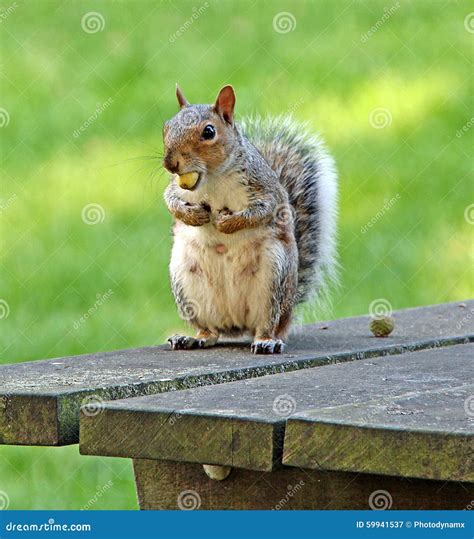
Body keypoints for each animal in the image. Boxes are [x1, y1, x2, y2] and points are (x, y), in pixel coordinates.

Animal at [162, 84, 336, 354]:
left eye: (209, 132)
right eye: (166, 126)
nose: (170, 163)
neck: (212, 178)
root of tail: (236, 325)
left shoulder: (266, 190)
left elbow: (262, 212)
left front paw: (226, 223)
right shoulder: (175, 188)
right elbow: (171, 201)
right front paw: (193, 215)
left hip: (273, 279)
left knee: (267, 324)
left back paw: (266, 341)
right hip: (186, 282)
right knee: (210, 332)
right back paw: (192, 338)